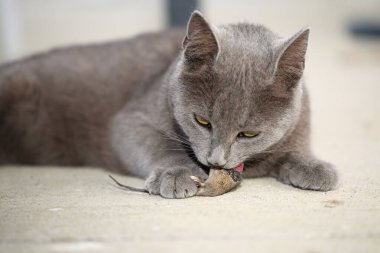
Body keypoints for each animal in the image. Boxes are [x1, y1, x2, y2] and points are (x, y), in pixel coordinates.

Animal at [0, 11, 338, 198]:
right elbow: (158, 143)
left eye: (249, 134)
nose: (216, 161)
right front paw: (176, 173)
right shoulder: (131, 120)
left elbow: (293, 147)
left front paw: (313, 166)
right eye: (202, 121)